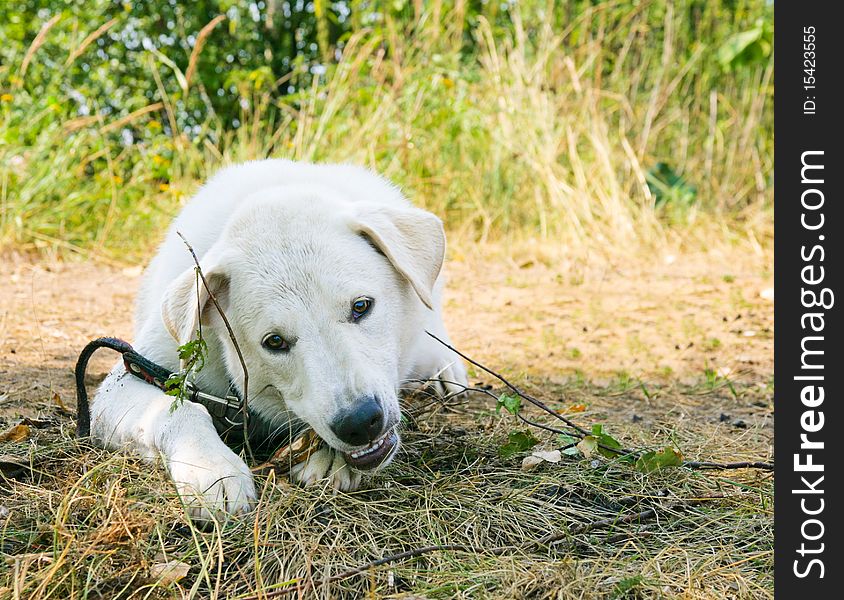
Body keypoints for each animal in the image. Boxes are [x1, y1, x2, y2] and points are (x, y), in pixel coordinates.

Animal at [92, 159, 468, 520]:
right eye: (274, 342)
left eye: (361, 307)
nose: (360, 424)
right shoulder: (126, 380)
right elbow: (179, 410)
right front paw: (212, 469)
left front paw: (327, 457)